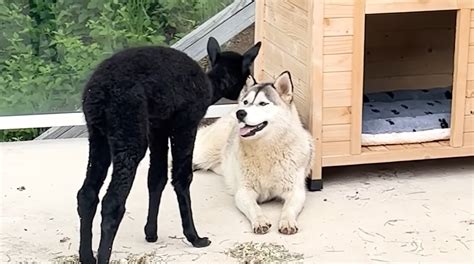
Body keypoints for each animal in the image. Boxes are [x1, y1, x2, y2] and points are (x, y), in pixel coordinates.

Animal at [194, 71, 312, 234]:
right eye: (246, 102)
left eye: (263, 103)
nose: (240, 113)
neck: (266, 149)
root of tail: (231, 110)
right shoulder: (244, 192)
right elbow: (254, 208)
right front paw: (260, 221)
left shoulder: (296, 191)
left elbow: (288, 208)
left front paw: (287, 221)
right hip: (205, 152)